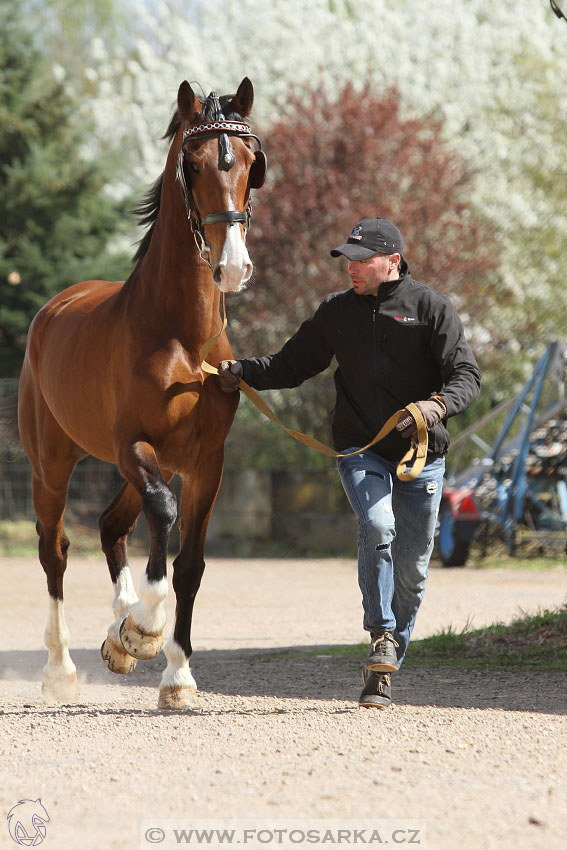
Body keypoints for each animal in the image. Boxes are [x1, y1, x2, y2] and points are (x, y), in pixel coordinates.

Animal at [14, 76, 268, 708]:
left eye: (250, 164)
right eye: (193, 163)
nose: (232, 267)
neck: (183, 336)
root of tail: (52, 310)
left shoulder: (203, 461)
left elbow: (191, 563)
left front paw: (174, 673)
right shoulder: (134, 446)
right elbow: (164, 514)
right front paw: (146, 628)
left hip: (155, 462)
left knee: (112, 524)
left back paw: (118, 631)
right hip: (53, 464)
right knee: (55, 549)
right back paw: (63, 667)